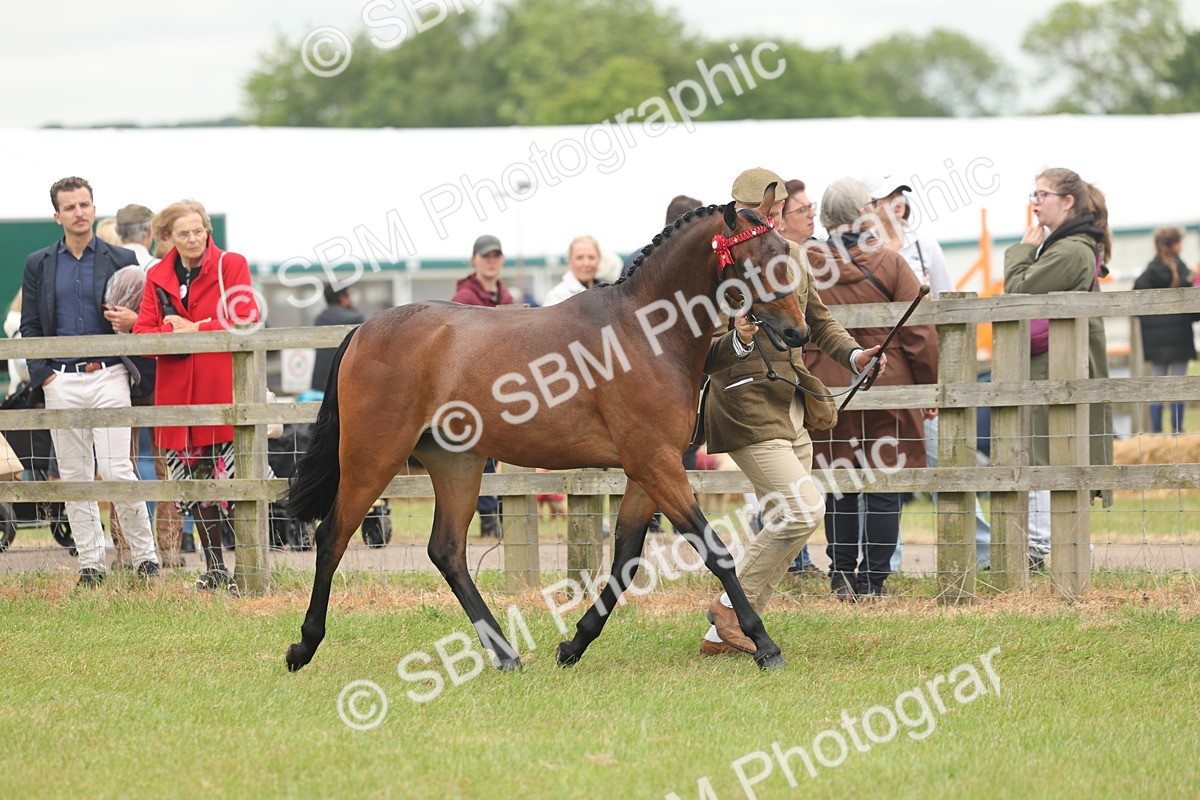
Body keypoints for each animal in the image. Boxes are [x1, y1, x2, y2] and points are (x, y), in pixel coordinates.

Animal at [284, 186, 808, 673]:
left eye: (784, 251)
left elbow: (625, 557)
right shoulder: (655, 463)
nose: (796, 332)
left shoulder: (647, 470)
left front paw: (573, 644)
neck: (643, 333)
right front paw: (765, 644)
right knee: (332, 536)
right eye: (751, 261)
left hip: (457, 462)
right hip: (373, 456)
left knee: (447, 551)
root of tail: (364, 330)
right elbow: (713, 551)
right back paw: (303, 646)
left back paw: (505, 654)